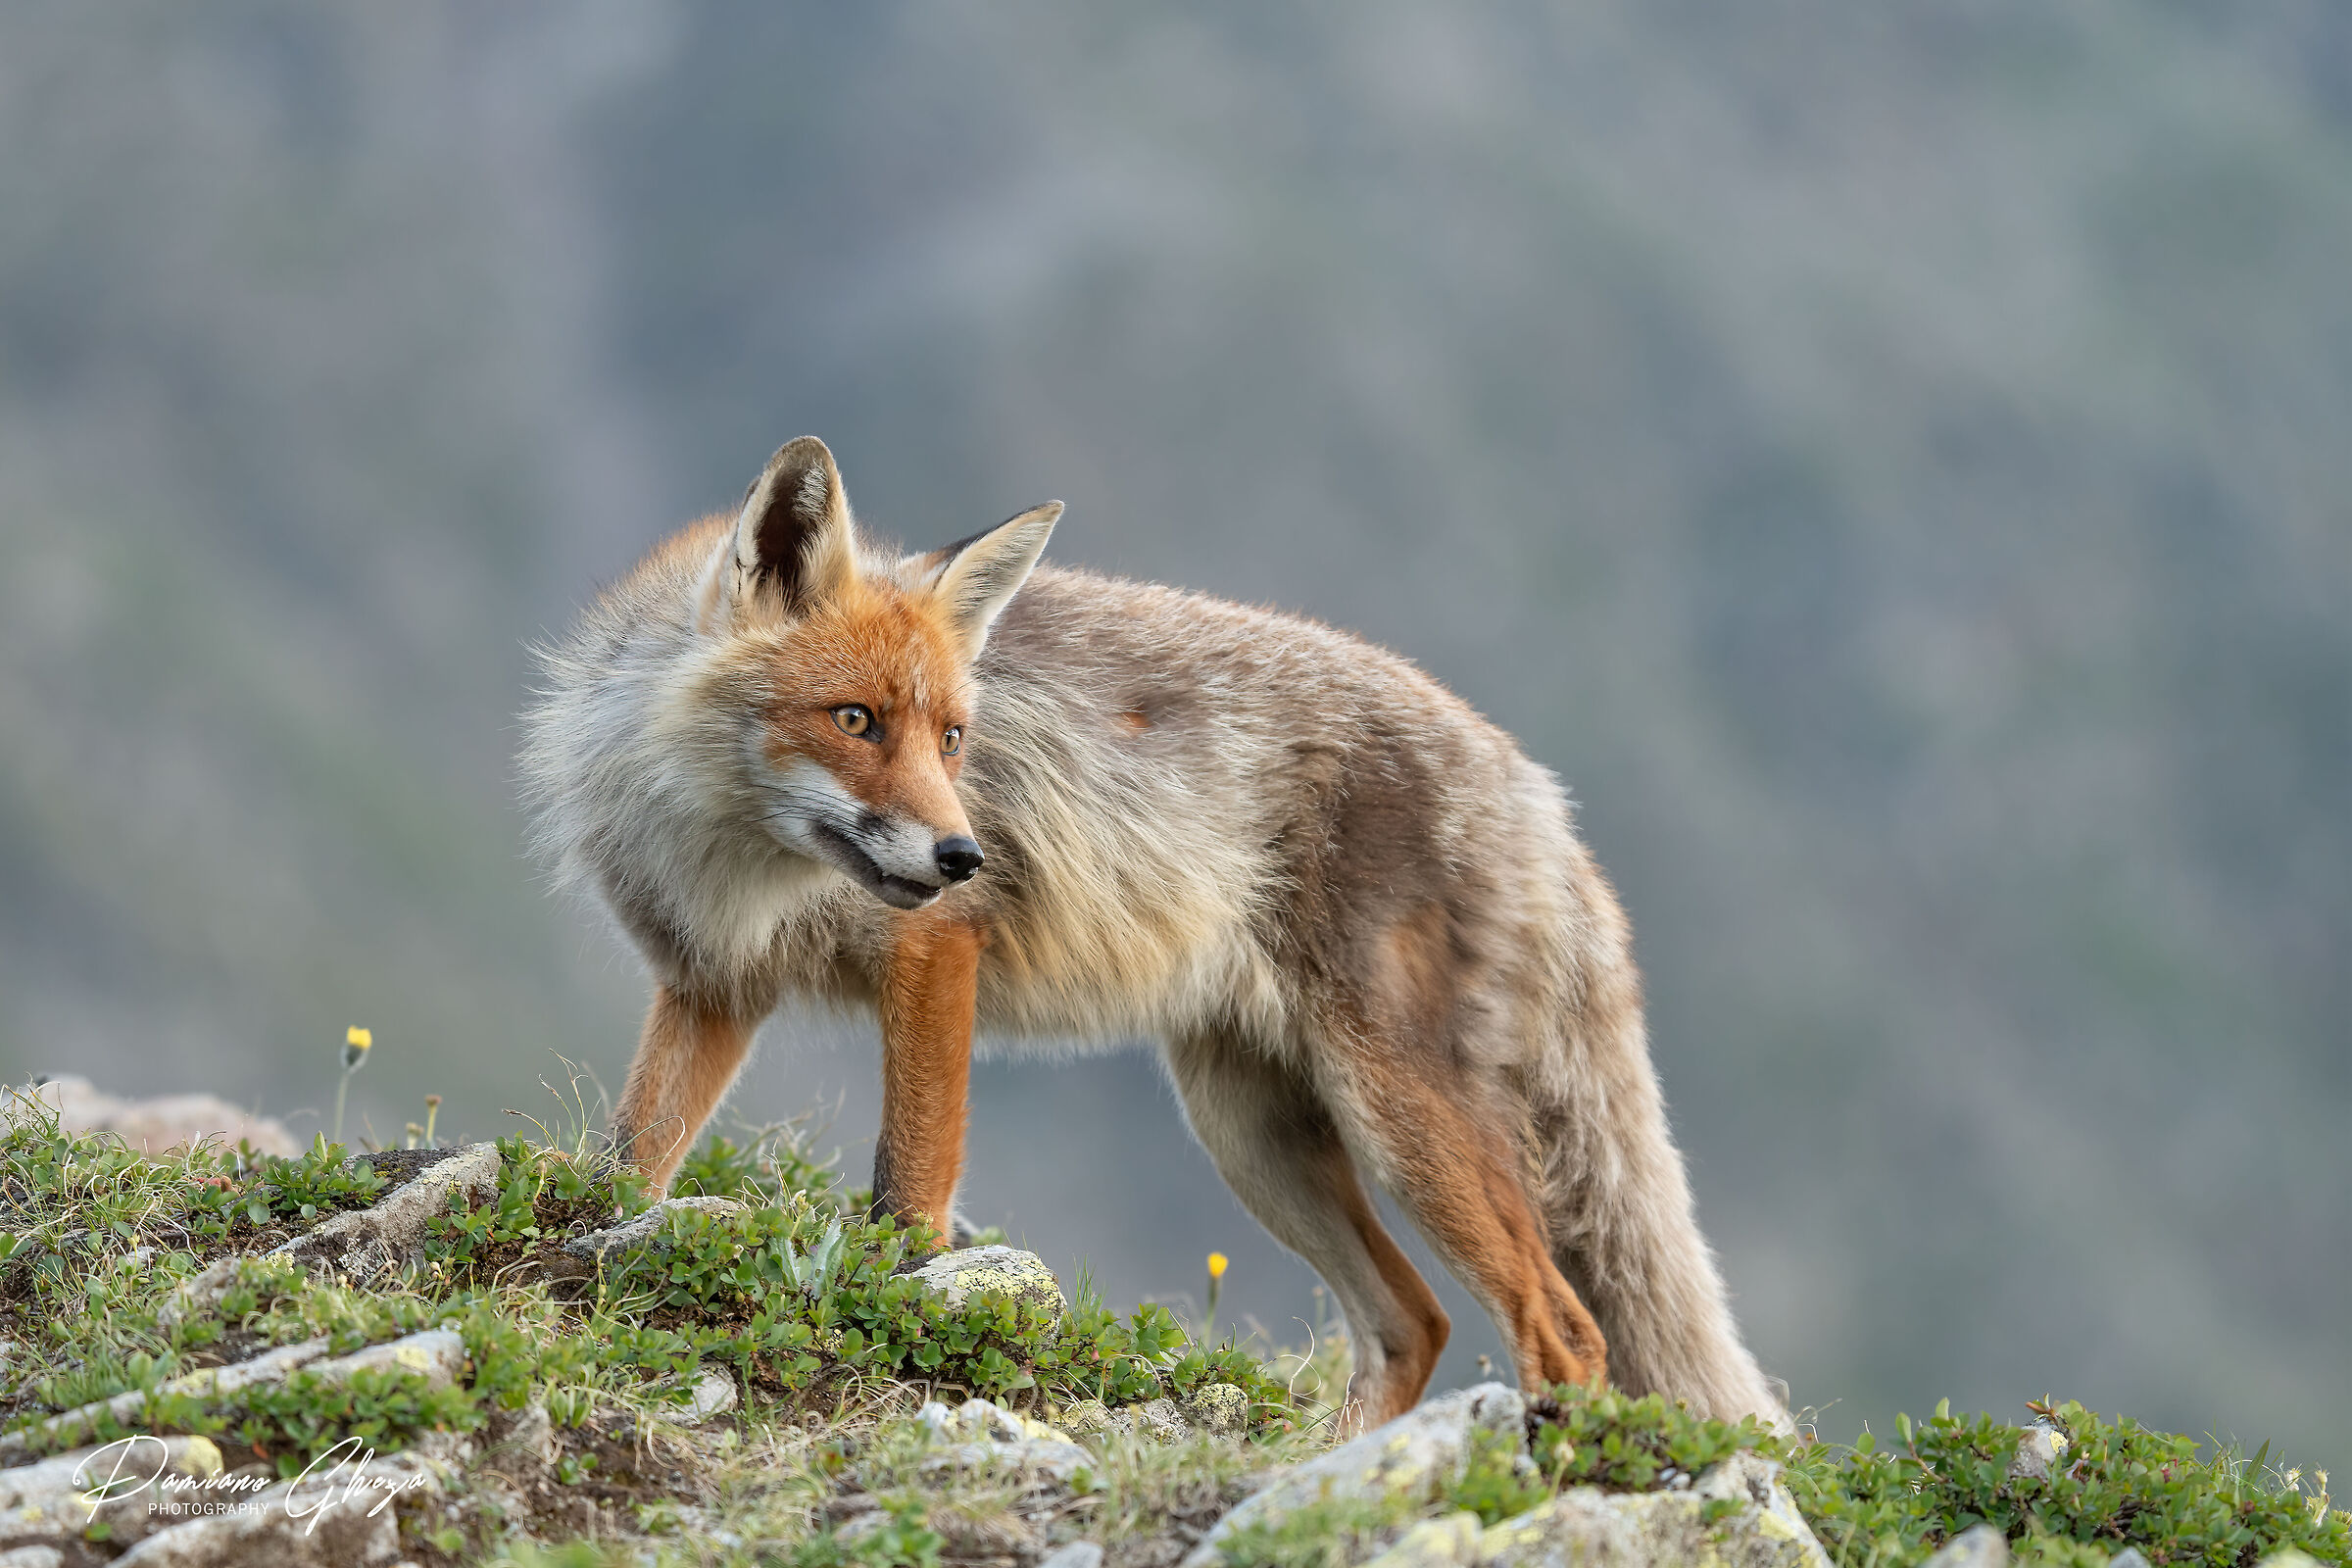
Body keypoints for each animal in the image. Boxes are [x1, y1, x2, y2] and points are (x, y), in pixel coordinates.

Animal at [520, 436, 1786, 1431]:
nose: (966, 856)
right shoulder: (713, 987)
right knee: (1413, 1323)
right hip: (1256, 1137)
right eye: (856, 720)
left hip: (1400, 1119)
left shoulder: (935, 956)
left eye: (953, 737)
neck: (743, 865)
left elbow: (907, 1190)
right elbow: (631, 1163)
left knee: (1567, 1331)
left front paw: (905, 1310)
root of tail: (1541, 795)